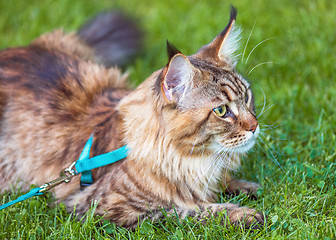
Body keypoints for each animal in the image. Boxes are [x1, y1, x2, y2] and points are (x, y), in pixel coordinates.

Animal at [0, 7, 266, 229]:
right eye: (221, 111)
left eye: (247, 97)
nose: (255, 126)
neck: (191, 159)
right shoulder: (103, 207)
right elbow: (184, 209)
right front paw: (241, 214)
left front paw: (244, 187)